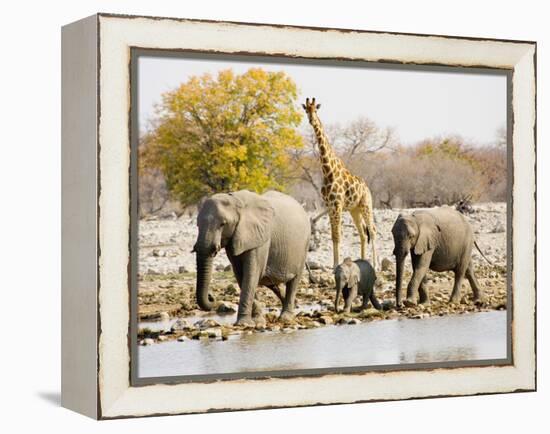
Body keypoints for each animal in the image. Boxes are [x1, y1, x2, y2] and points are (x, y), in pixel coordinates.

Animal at [193, 190, 310, 326]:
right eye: (197, 225)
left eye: (223, 224)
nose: (211, 296)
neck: (235, 200)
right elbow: (241, 275)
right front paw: (257, 320)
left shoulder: (259, 237)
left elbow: (250, 275)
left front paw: (243, 323)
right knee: (271, 282)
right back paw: (295, 305)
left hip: (304, 247)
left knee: (293, 281)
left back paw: (286, 317)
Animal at [302, 97, 380, 270]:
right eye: (306, 110)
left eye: (316, 110)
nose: (311, 120)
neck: (327, 171)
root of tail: (368, 189)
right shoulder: (330, 206)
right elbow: (333, 236)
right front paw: (333, 264)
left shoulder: (337, 205)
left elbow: (338, 236)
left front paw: (337, 264)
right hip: (354, 210)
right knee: (363, 233)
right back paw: (363, 261)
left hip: (366, 205)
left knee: (372, 230)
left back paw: (376, 265)